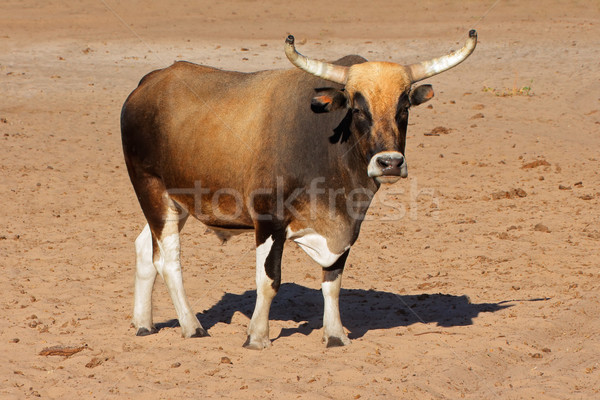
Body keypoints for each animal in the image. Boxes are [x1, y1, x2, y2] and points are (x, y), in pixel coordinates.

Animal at [120, 30, 478, 346]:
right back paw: (192, 326)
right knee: (168, 261)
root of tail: (150, 82)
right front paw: (257, 336)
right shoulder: (268, 220)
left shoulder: (346, 226)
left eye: (403, 108)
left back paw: (144, 323)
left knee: (143, 248)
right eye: (357, 109)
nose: (389, 162)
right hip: (152, 192)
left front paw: (335, 335)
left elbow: (332, 281)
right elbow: (268, 280)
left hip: (175, 202)